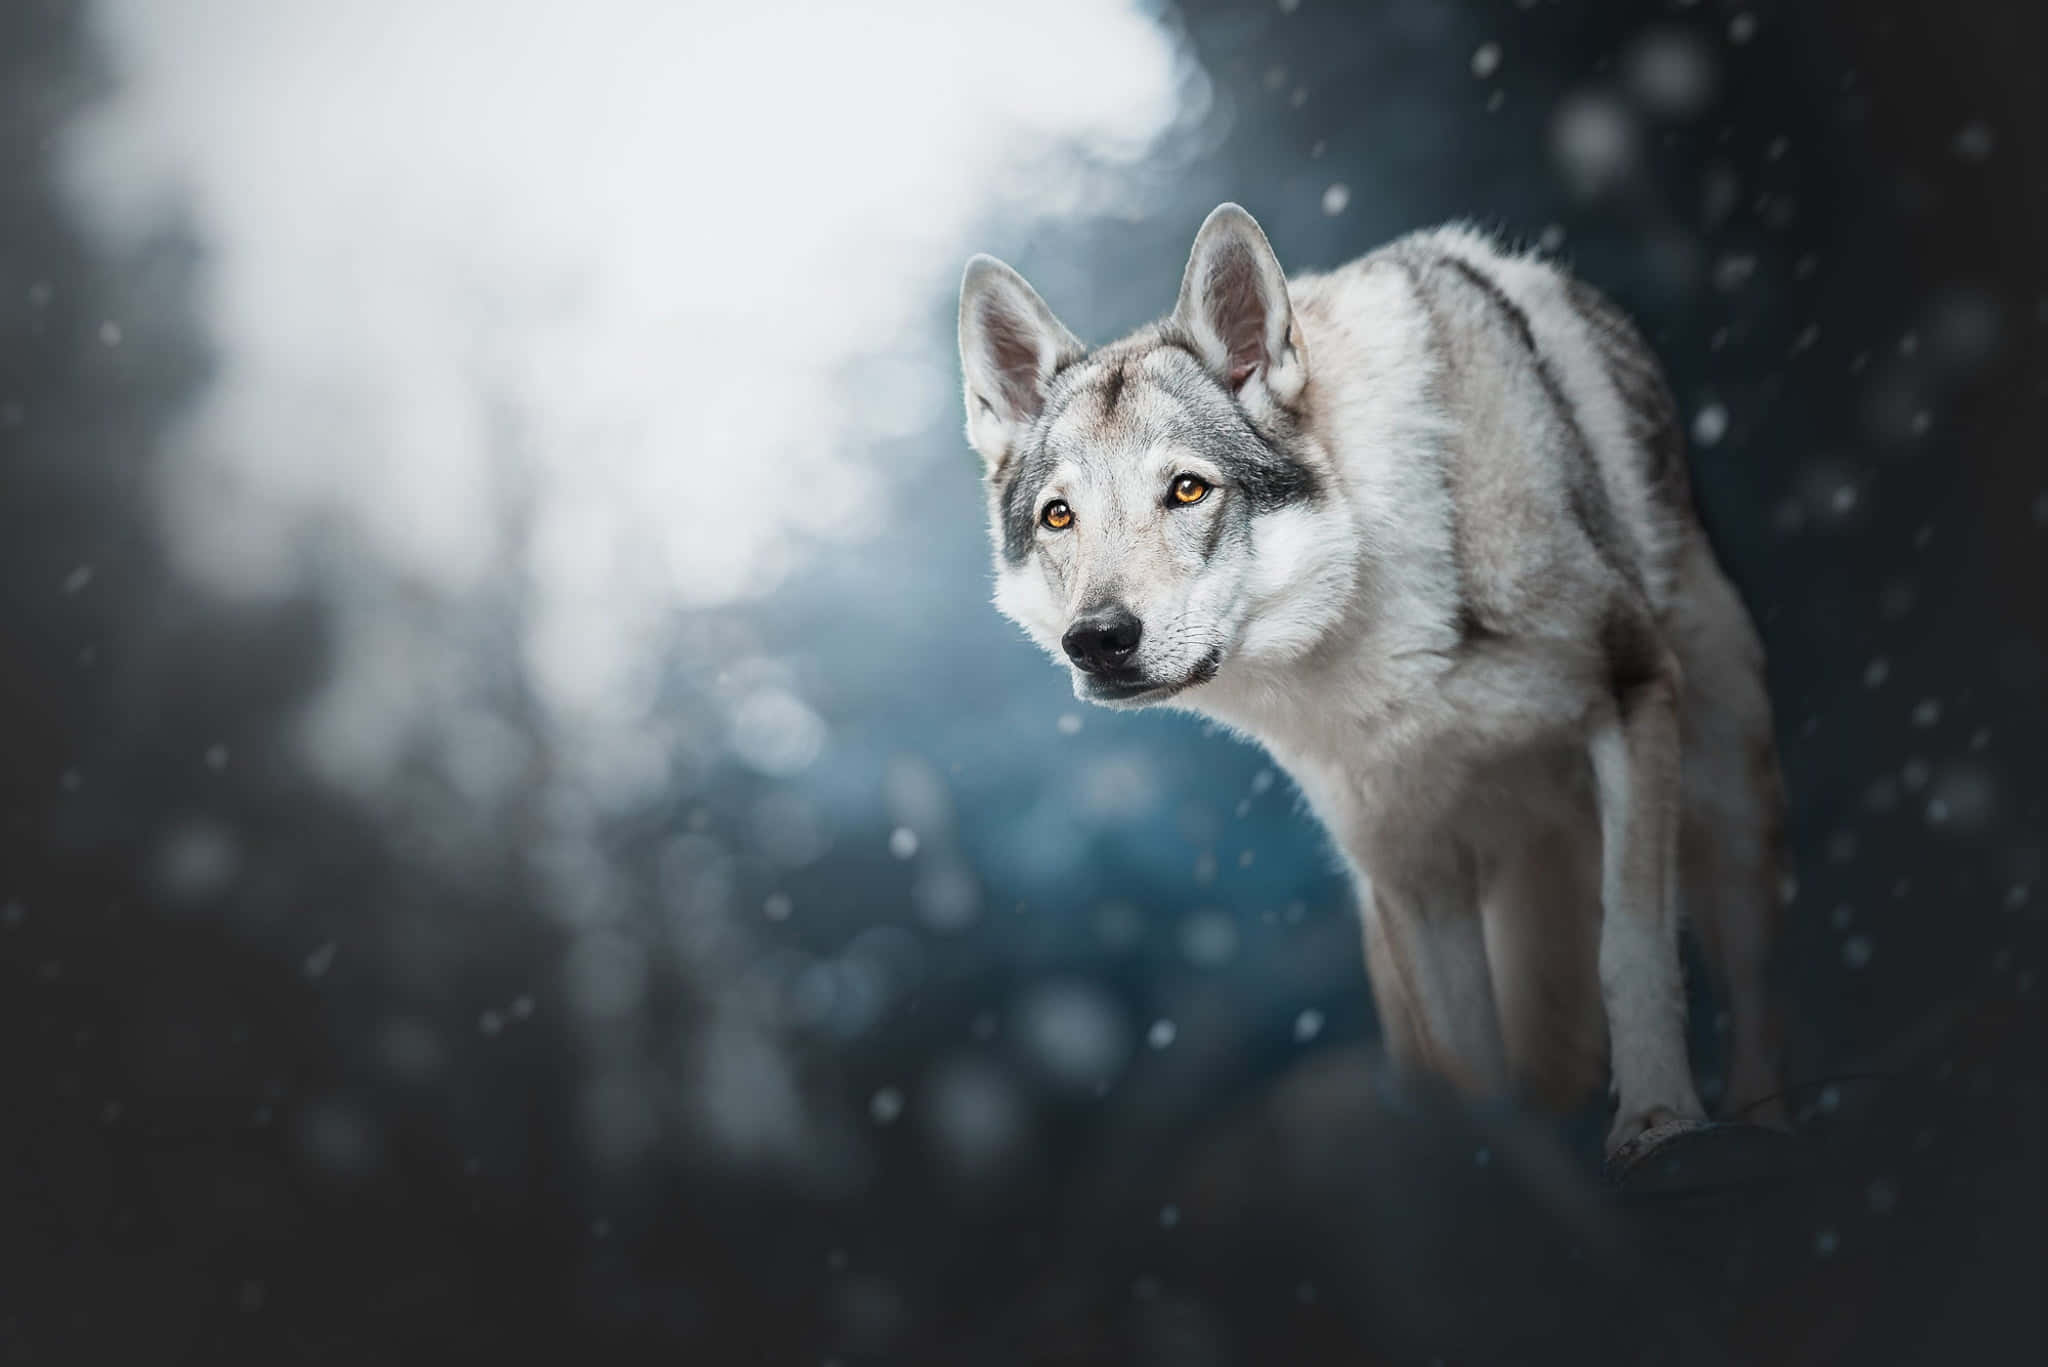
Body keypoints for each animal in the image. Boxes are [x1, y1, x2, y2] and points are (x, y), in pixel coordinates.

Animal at [956, 204, 1787, 1157]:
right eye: (1060, 516)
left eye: (1189, 490)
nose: (1096, 639)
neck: (1374, 635)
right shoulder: (1410, 864)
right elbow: (1470, 1066)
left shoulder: (1632, 687)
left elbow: (1634, 946)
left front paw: (1657, 1120)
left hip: (1725, 801)